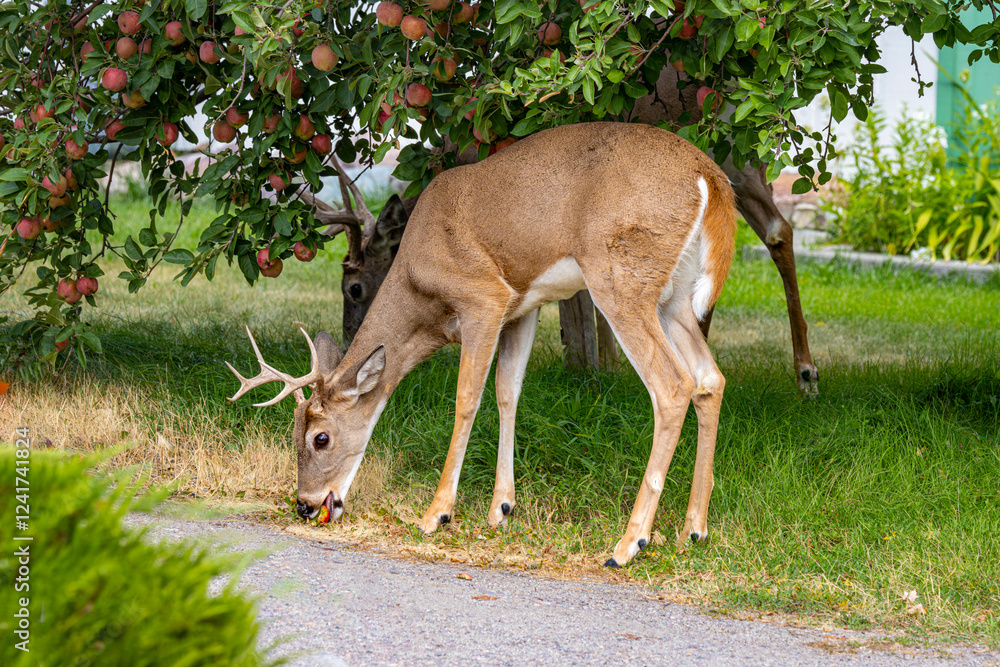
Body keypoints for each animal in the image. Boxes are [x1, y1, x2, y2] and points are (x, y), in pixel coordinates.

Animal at [230, 122, 740, 568]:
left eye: (321, 437)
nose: (304, 503)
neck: (418, 282)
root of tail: (710, 177)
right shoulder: (522, 306)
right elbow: (507, 391)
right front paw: (501, 509)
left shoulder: (483, 297)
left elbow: (466, 397)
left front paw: (436, 513)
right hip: (674, 296)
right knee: (710, 378)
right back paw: (693, 530)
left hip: (620, 275)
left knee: (672, 385)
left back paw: (628, 543)